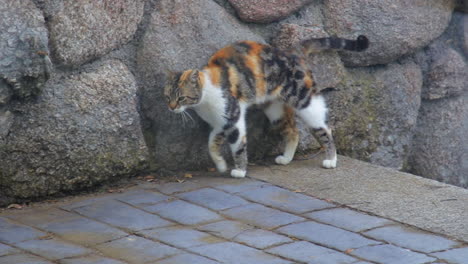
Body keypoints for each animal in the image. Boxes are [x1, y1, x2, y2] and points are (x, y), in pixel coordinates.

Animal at [165, 34, 370, 177]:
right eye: (167, 96)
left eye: (181, 98)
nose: (171, 107)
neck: (206, 95)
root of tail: (292, 52)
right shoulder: (221, 123)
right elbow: (211, 144)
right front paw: (221, 165)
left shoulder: (233, 118)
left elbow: (238, 146)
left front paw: (240, 171)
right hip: (275, 111)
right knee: (293, 131)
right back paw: (286, 158)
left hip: (306, 103)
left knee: (326, 128)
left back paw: (331, 159)